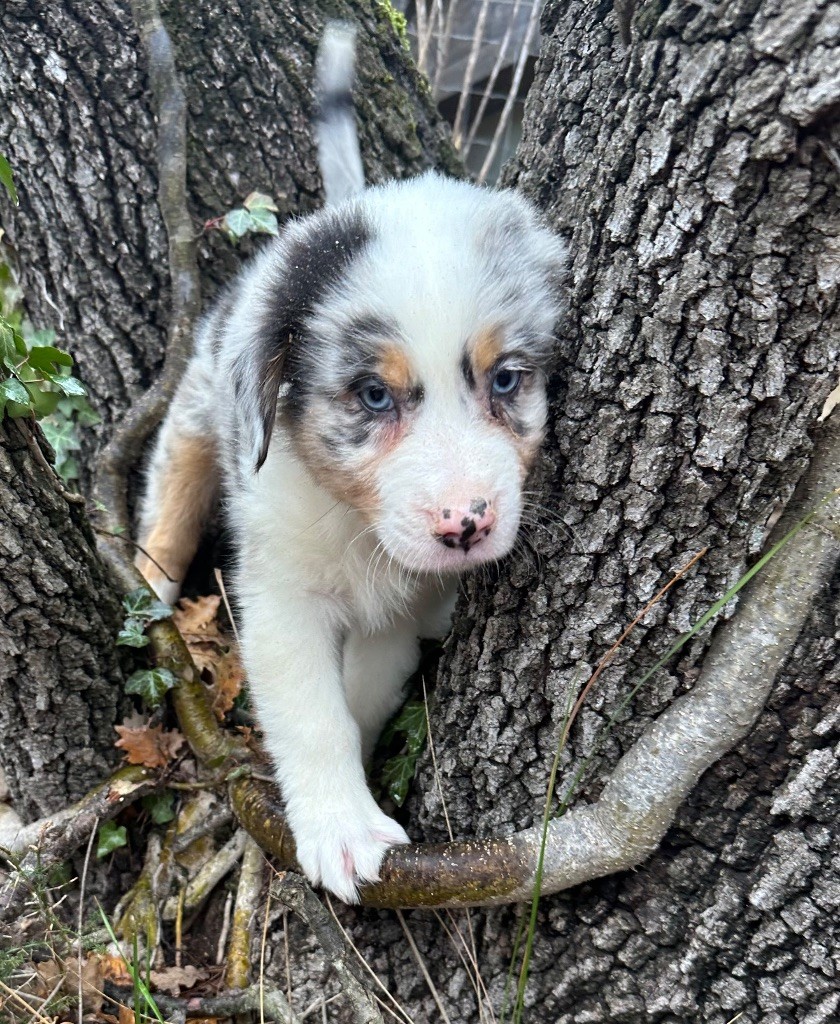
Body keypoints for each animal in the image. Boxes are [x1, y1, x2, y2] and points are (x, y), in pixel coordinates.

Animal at [136, 22, 565, 905]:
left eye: (507, 380)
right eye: (372, 396)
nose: (465, 526)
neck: (356, 525)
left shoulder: (404, 609)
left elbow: (364, 694)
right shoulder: (278, 595)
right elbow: (312, 713)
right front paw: (340, 828)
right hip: (194, 411)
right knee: (167, 503)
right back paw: (146, 587)